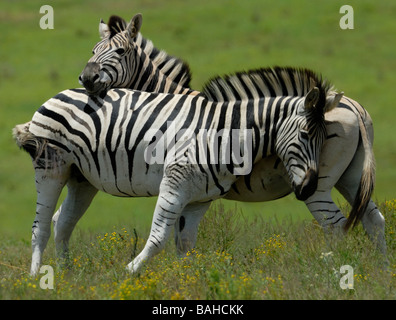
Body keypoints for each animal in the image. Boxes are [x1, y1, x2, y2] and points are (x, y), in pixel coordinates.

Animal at [12, 67, 336, 276]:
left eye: (325, 140)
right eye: (306, 134)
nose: (309, 188)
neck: (226, 135)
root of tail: (58, 94)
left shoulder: (200, 198)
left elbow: (186, 244)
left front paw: (188, 281)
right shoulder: (174, 184)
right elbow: (158, 237)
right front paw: (130, 272)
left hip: (82, 178)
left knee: (63, 222)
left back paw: (67, 274)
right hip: (51, 168)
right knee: (41, 225)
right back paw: (36, 277)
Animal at [78, 15, 386, 256]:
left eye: (119, 52)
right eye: (93, 50)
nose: (86, 78)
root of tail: (355, 108)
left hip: (318, 185)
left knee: (335, 227)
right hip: (351, 176)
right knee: (374, 219)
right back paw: (379, 271)